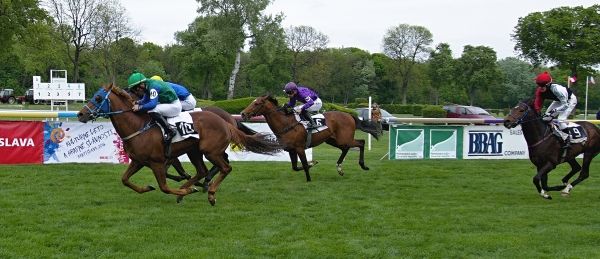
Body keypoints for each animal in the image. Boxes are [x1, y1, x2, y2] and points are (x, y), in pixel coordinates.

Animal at [77, 84, 282, 206]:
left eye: (97, 98)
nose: (80, 114)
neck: (138, 126)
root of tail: (227, 121)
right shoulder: (138, 161)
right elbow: (125, 179)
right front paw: (147, 188)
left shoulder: (158, 162)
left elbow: (164, 186)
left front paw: (185, 188)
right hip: (195, 151)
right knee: (203, 170)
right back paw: (191, 188)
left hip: (209, 151)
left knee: (225, 167)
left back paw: (208, 192)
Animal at [239, 94, 380, 182]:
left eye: (257, 103)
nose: (243, 113)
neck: (286, 124)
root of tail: (349, 115)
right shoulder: (291, 150)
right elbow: (295, 167)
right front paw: (313, 163)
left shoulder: (300, 148)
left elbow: (305, 165)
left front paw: (309, 179)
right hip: (333, 140)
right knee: (346, 149)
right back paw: (339, 168)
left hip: (344, 139)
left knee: (361, 142)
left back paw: (363, 165)